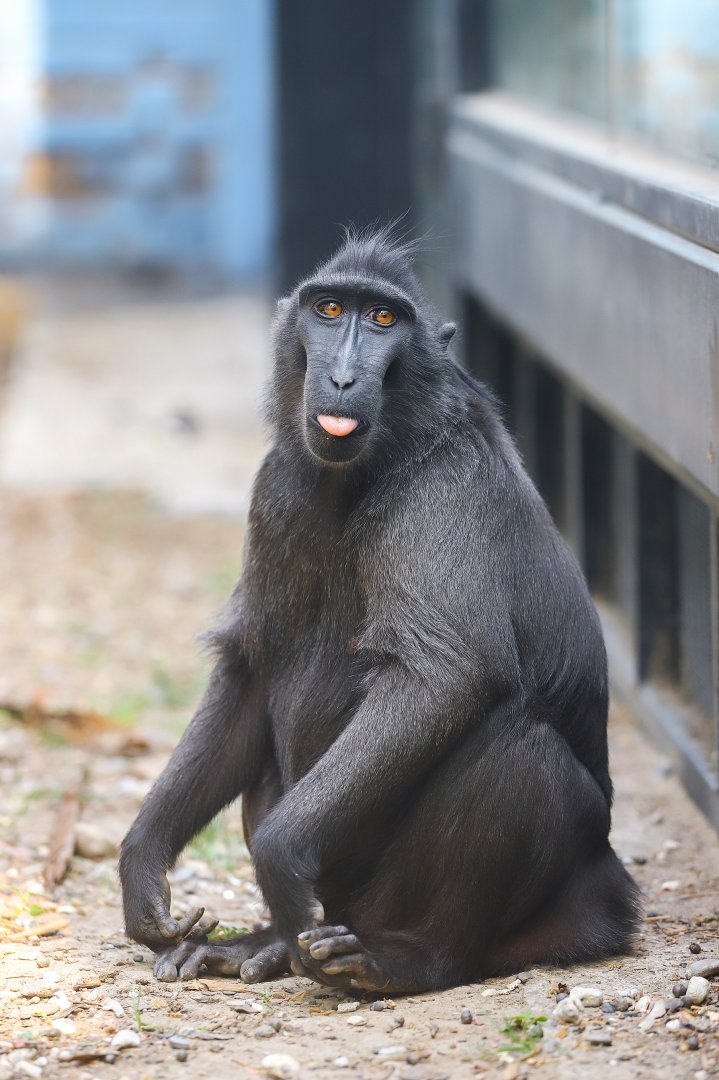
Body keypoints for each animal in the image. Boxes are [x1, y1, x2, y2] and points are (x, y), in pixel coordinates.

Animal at [119, 226, 640, 994]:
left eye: (385, 319)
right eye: (330, 310)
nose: (340, 378)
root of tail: (601, 894)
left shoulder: (443, 485)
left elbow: (447, 675)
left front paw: (277, 856)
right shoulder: (275, 485)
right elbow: (250, 672)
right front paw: (142, 862)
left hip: (430, 899)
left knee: (519, 747)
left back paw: (406, 959)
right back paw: (268, 944)